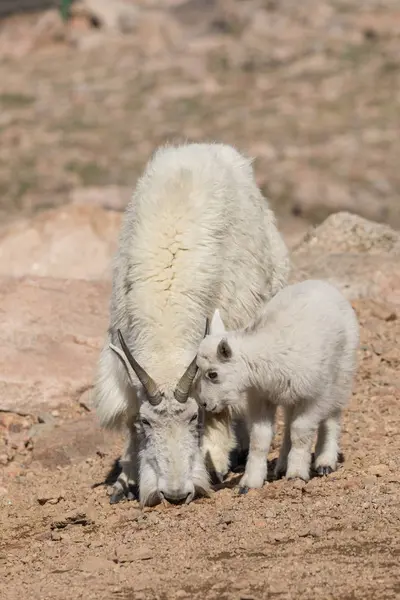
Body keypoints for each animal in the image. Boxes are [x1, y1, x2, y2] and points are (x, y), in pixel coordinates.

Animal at [93, 143, 288, 504]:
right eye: (147, 422)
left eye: (193, 416)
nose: (174, 494)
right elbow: (127, 414)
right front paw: (125, 480)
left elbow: (220, 405)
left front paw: (216, 462)